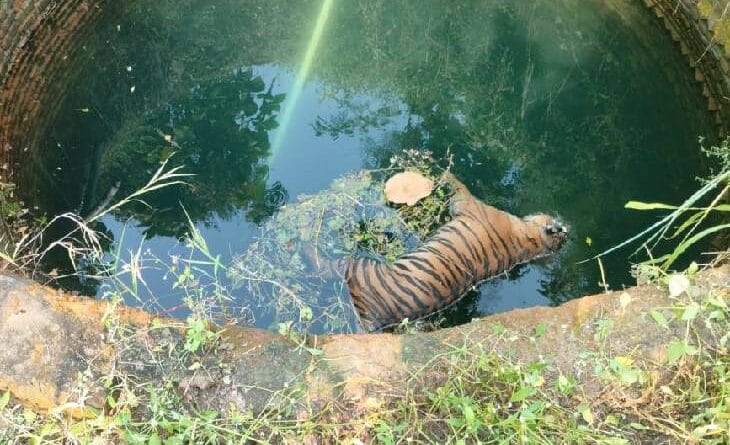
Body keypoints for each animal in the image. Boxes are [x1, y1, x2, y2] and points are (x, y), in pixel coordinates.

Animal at [343, 172, 569, 332]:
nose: (567, 225)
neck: (526, 243)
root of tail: (372, 320)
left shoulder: (467, 204)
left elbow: (459, 185)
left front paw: (445, 174)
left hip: (356, 264)